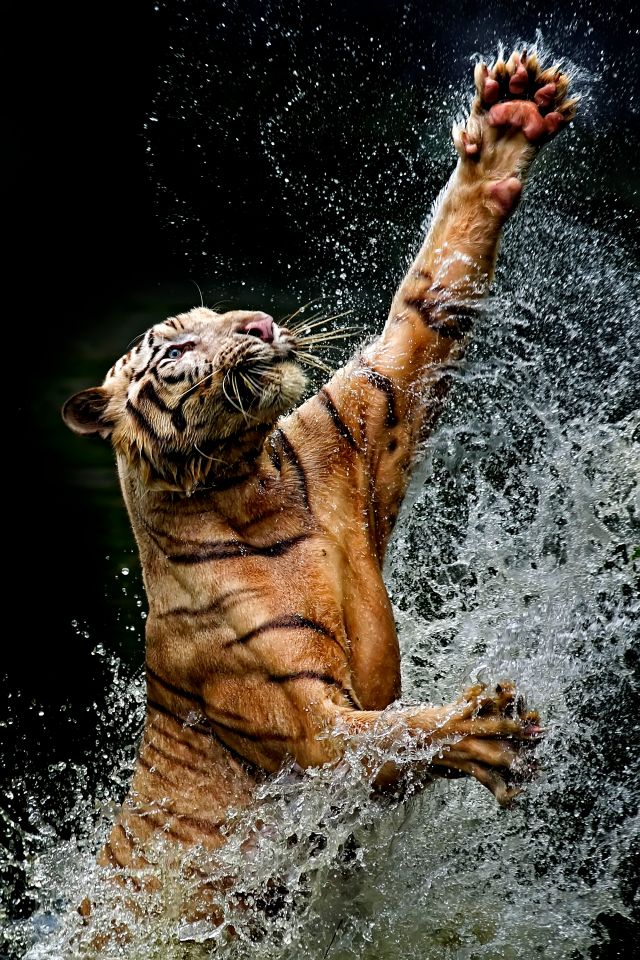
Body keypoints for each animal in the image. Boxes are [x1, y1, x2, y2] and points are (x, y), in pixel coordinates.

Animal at [62, 47, 576, 928]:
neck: (251, 481)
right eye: (176, 348)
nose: (260, 325)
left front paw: (509, 122)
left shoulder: (365, 415)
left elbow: (429, 296)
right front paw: (480, 731)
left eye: (219, 315)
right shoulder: (307, 729)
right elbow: (386, 737)